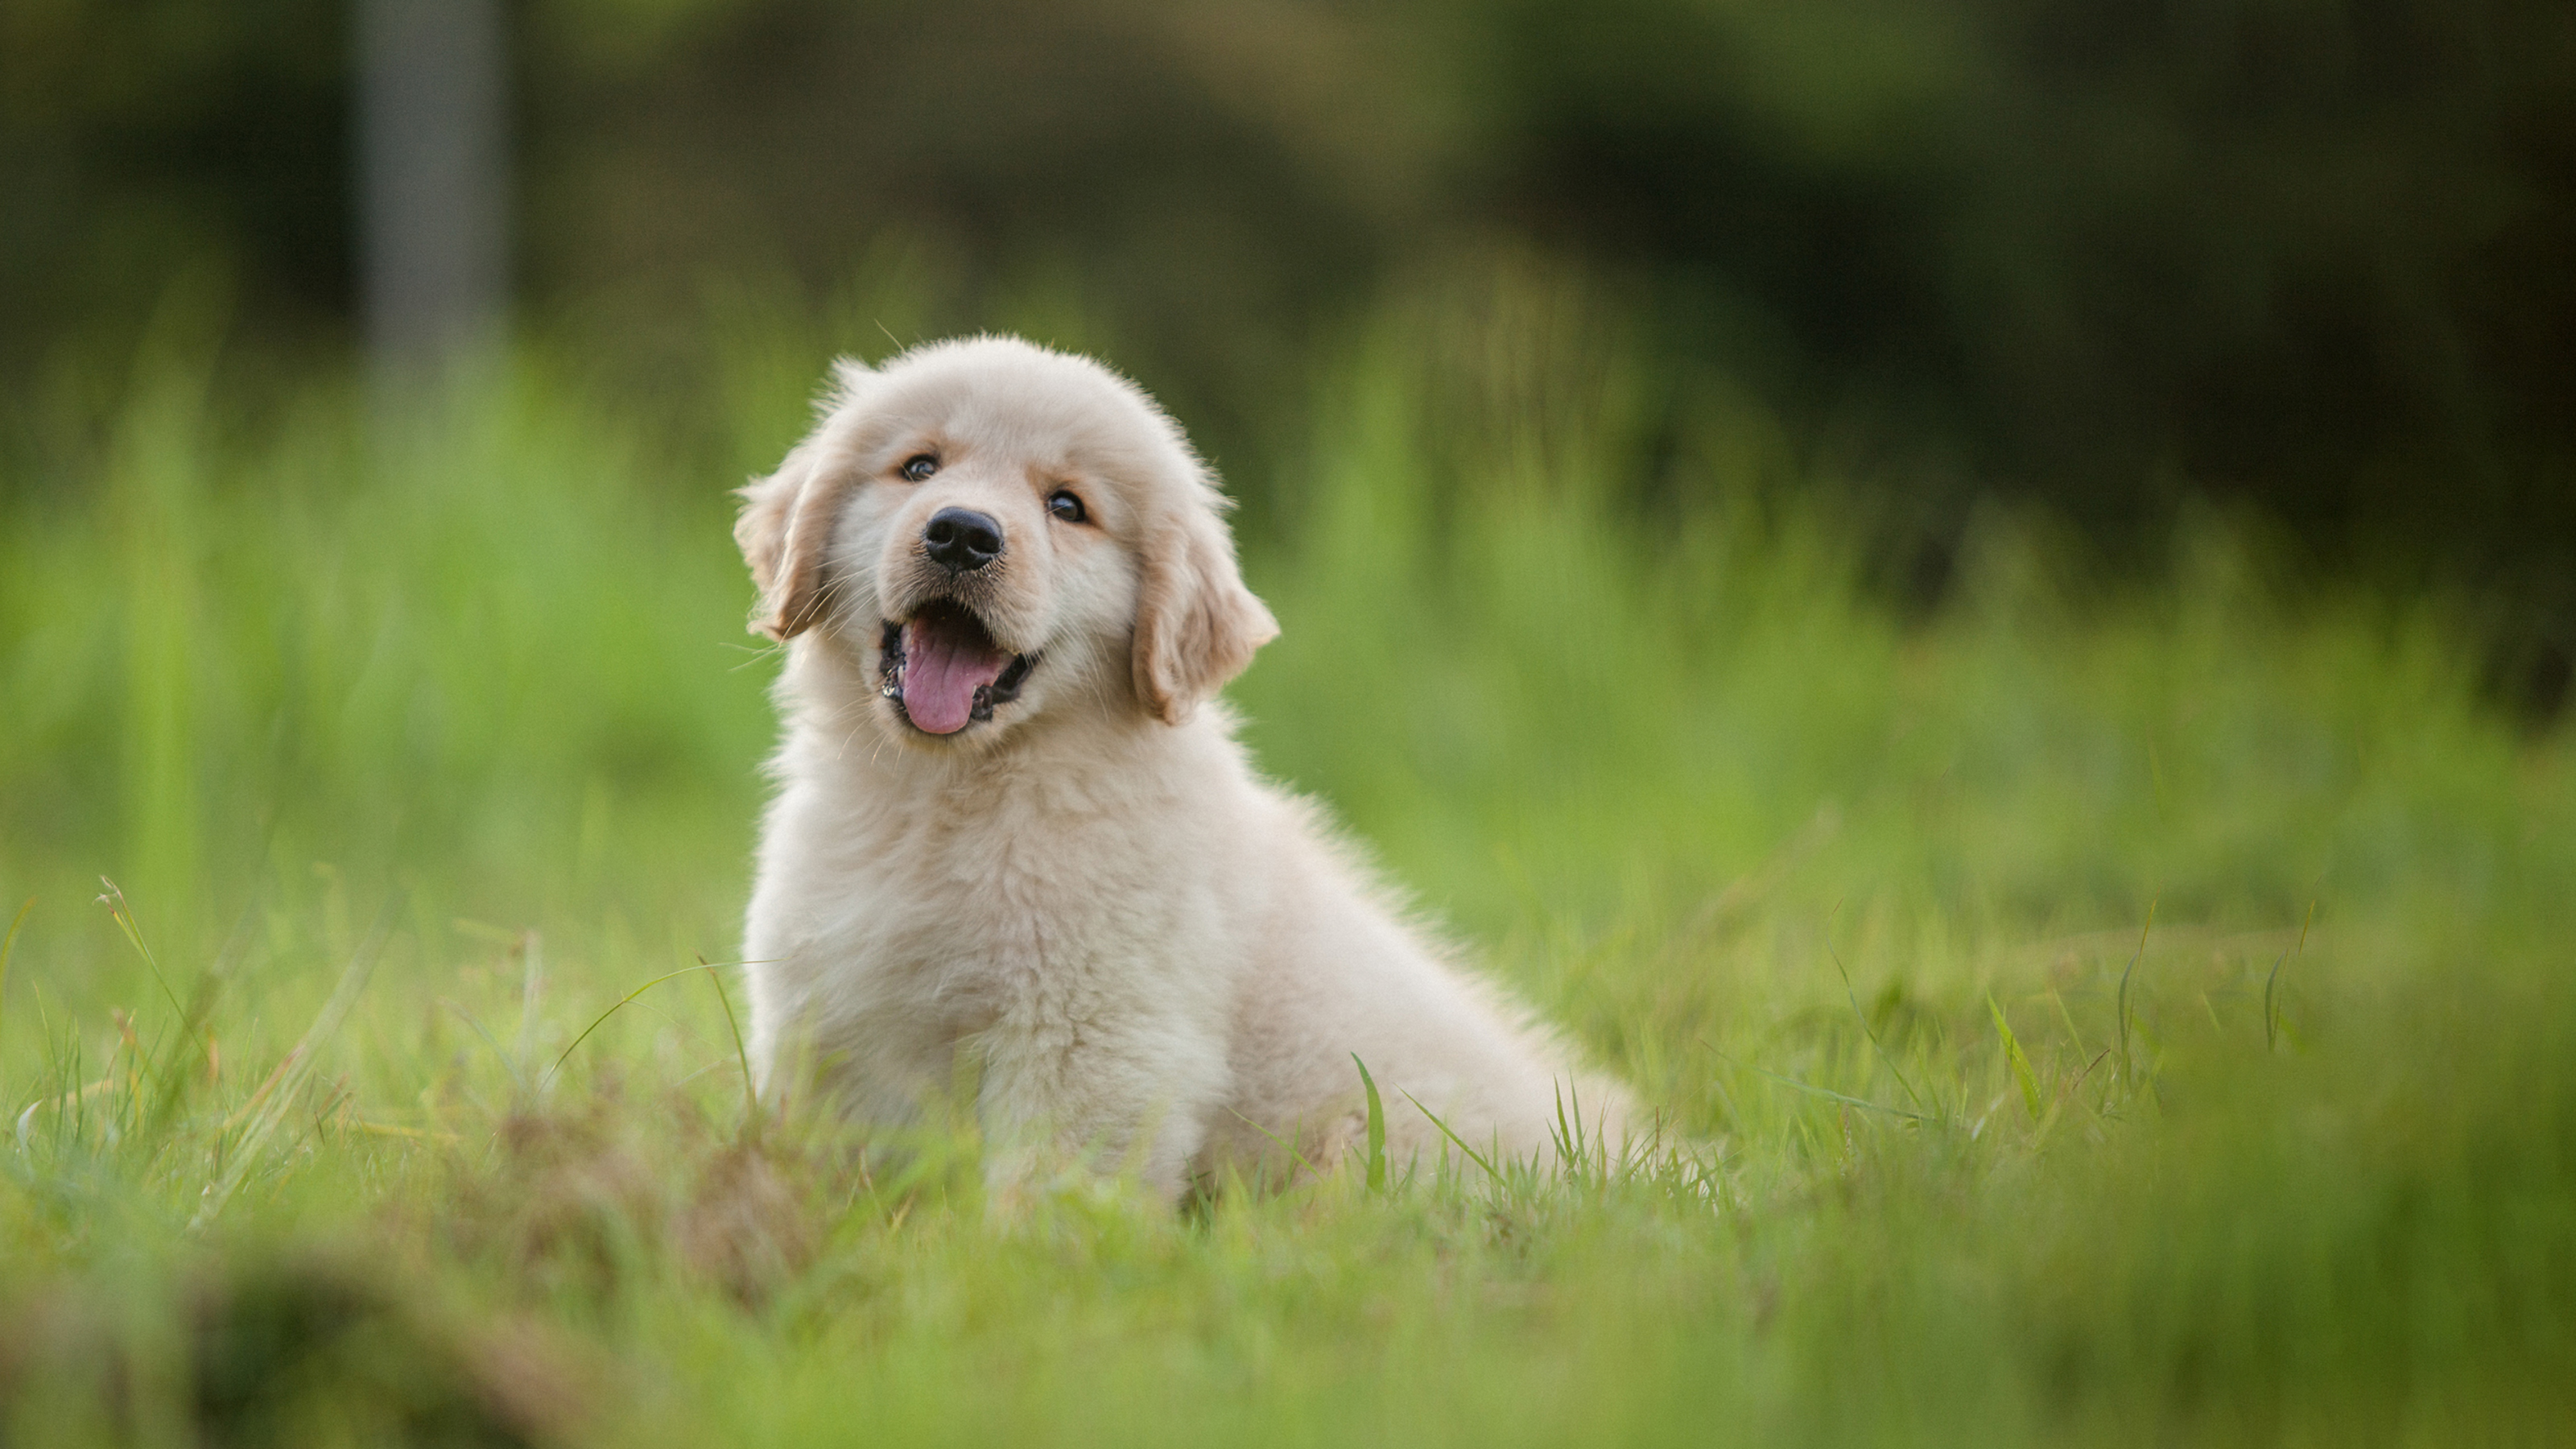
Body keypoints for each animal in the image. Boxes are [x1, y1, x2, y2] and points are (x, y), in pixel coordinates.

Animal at [737, 332, 1628, 1191]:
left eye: (1068, 506)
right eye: (919, 467)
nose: (961, 533)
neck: (945, 791)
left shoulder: (1091, 1036)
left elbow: (1049, 1192)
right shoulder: (831, 1015)